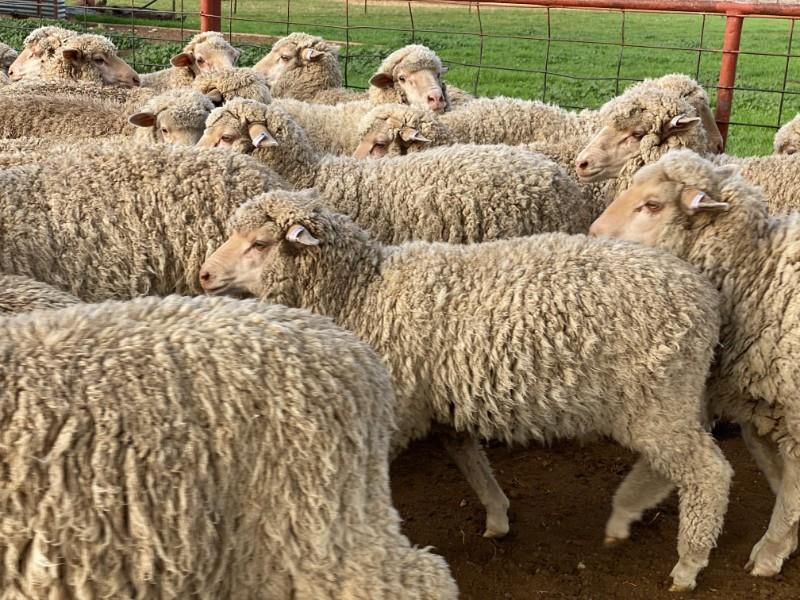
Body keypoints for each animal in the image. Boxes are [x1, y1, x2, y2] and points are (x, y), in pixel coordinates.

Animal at [199, 187, 731, 592]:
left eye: (260, 243)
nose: (204, 275)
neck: (362, 292)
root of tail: (705, 297)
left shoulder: (397, 408)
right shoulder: (437, 400)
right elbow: (467, 456)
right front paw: (497, 516)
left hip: (659, 394)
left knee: (709, 473)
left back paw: (688, 563)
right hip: (663, 398)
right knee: (673, 463)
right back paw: (626, 515)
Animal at [590, 148, 800, 579]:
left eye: (653, 205)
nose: (591, 236)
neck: (762, 280)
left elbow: (791, 493)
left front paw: (769, 554)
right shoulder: (759, 407)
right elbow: (779, 478)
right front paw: (787, 544)